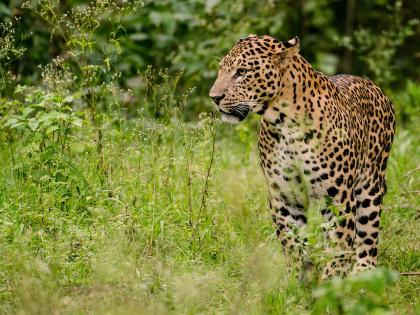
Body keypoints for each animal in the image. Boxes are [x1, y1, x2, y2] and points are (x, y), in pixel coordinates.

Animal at [208, 34, 396, 278]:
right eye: (221, 69)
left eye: (242, 72)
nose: (214, 97)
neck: (285, 124)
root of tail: (374, 86)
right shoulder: (285, 197)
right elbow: (292, 243)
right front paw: (298, 279)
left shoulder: (338, 198)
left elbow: (338, 246)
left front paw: (330, 282)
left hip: (370, 186)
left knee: (368, 236)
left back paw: (363, 273)